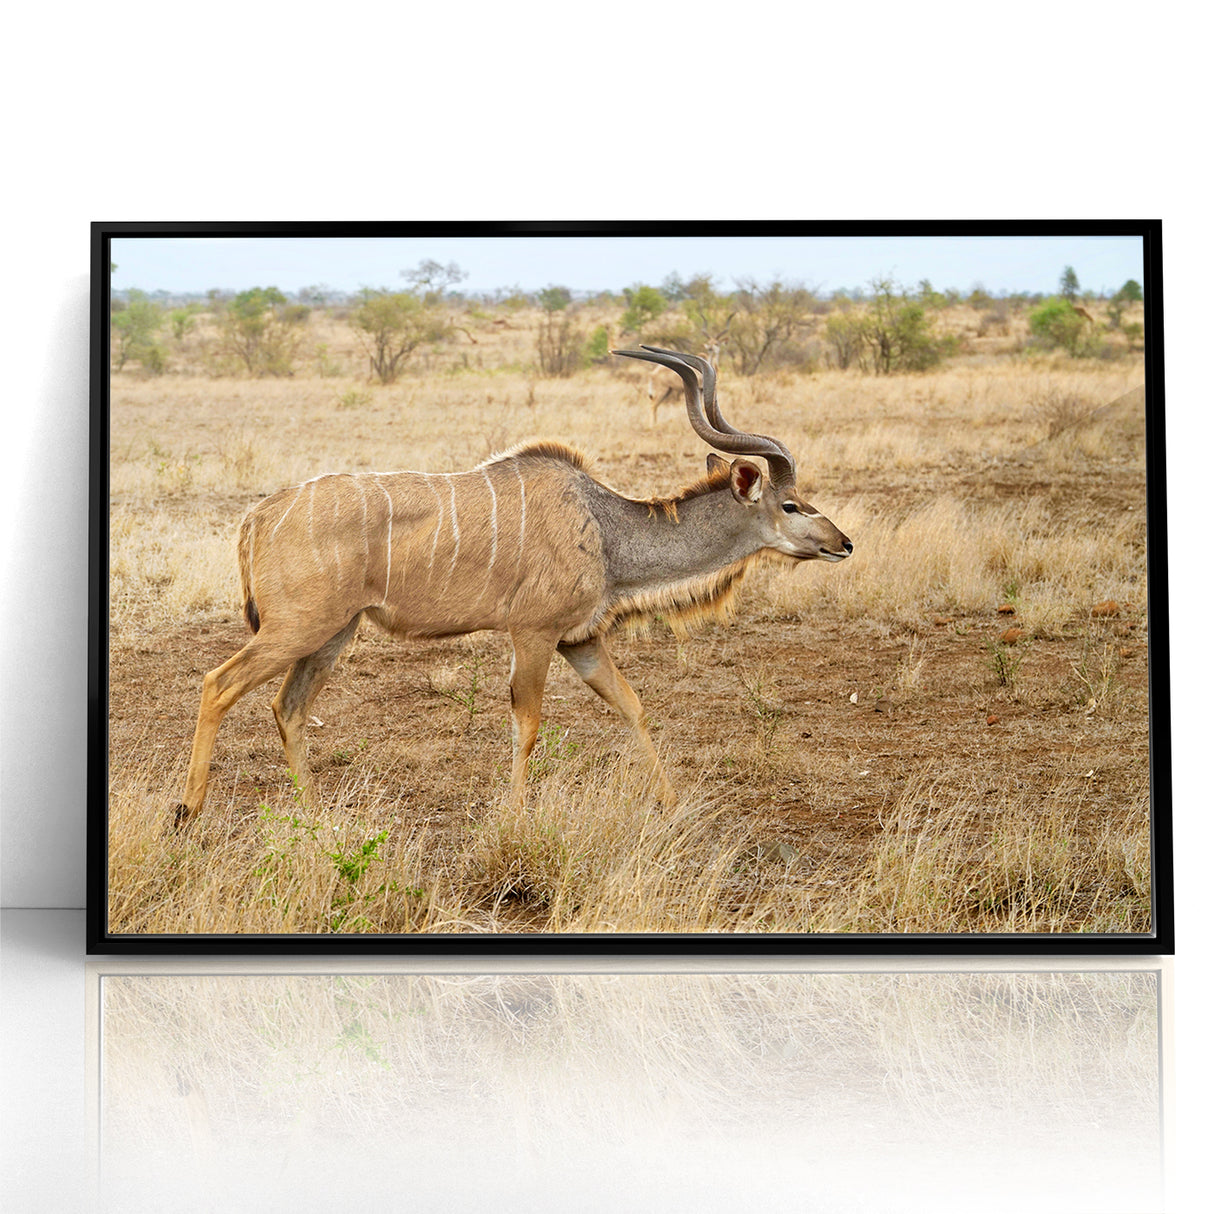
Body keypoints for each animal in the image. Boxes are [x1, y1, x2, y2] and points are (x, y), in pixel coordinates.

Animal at [175, 347, 852, 828]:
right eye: (791, 505)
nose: (842, 543)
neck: (604, 527)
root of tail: (259, 514)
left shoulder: (580, 640)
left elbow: (632, 705)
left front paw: (673, 803)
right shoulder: (533, 633)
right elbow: (527, 722)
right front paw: (518, 817)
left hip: (334, 633)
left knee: (288, 707)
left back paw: (314, 819)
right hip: (299, 627)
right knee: (219, 683)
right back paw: (188, 813)